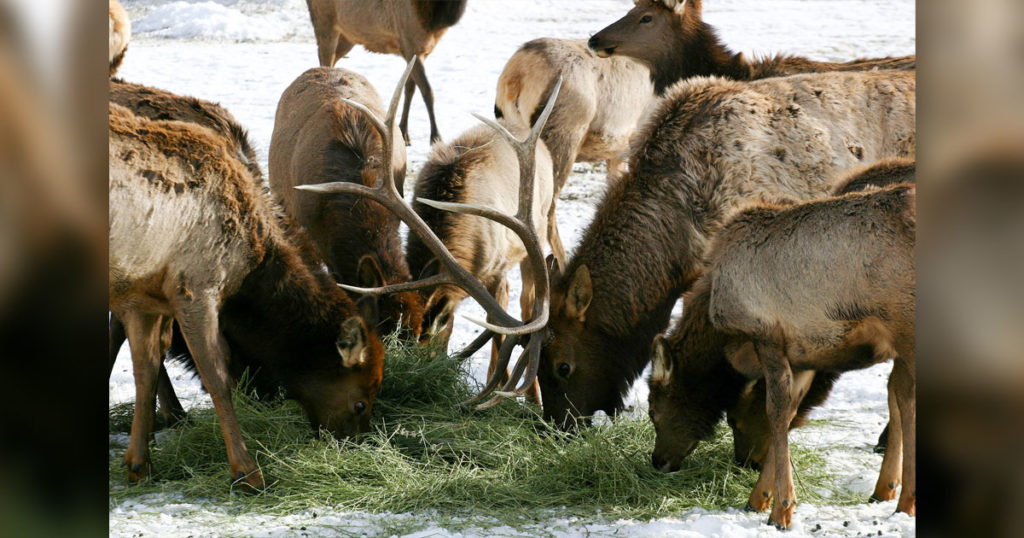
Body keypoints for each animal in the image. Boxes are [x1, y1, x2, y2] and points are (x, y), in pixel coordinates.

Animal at [109, 102, 386, 491]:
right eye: (360, 402)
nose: (354, 444)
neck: (251, 263)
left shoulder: (141, 296)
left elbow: (145, 370)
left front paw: (139, 464)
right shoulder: (194, 286)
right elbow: (218, 377)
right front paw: (247, 471)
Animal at [305, 0, 467, 144]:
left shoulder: (419, 51)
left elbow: (409, 88)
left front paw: (404, 131)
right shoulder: (410, 45)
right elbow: (427, 90)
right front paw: (435, 136)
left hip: (348, 37)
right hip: (325, 24)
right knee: (325, 61)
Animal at [404, 119, 554, 401]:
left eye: (421, 346)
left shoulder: (495, 270)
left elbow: (497, 327)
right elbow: (456, 324)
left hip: (536, 231)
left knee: (526, 302)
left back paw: (531, 395)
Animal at [648, 183, 916, 528]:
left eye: (653, 411)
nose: (658, 460)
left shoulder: (768, 337)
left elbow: (774, 412)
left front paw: (781, 509)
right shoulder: (802, 356)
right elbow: (787, 414)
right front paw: (759, 498)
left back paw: (905, 501)